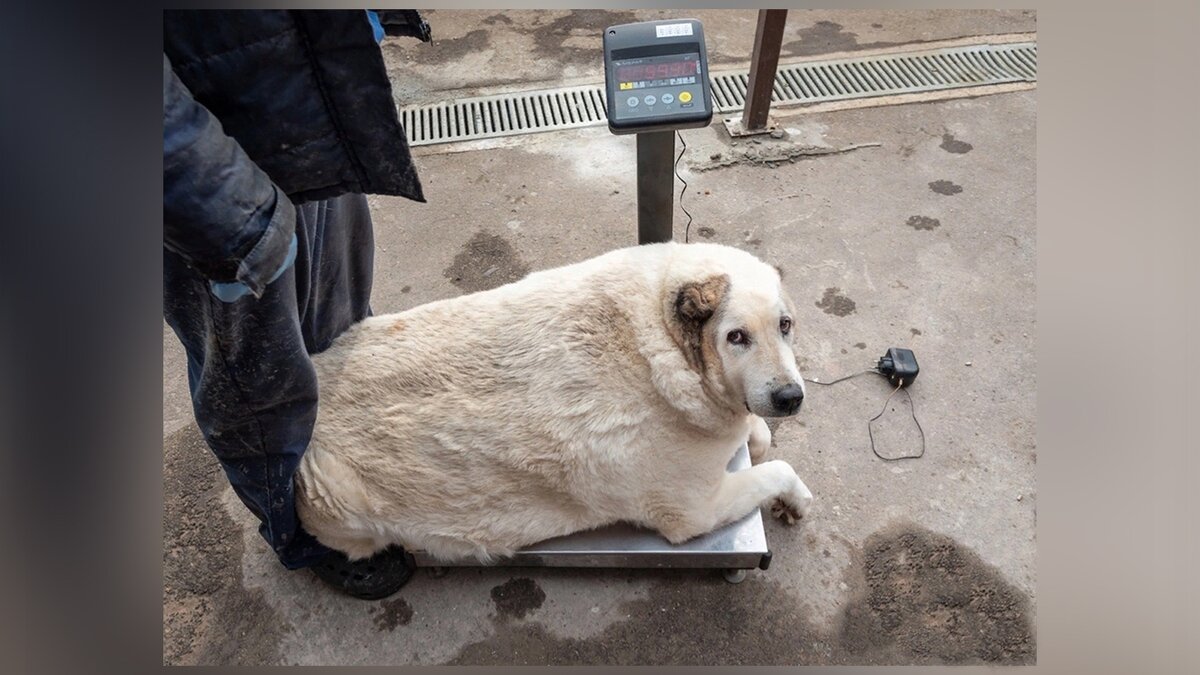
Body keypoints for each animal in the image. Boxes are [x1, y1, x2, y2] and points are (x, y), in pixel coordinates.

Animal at [295, 239, 811, 559]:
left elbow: (759, 435)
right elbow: (778, 467)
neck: (663, 348)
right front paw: (797, 499)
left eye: (785, 325)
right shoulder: (692, 510)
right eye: (736, 337)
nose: (790, 397)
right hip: (338, 498)